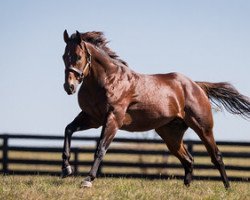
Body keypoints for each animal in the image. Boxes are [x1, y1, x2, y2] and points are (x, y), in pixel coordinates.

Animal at [61, 29, 250, 188]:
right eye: (63, 56)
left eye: (78, 56)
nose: (69, 87)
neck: (108, 80)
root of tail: (196, 86)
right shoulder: (92, 118)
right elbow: (68, 129)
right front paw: (66, 169)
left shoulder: (113, 119)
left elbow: (100, 148)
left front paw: (87, 179)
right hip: (170, 134)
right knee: (188, 160)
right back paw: (186, 188)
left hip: (203, 128)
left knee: (216, 156)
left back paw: (227, 187)